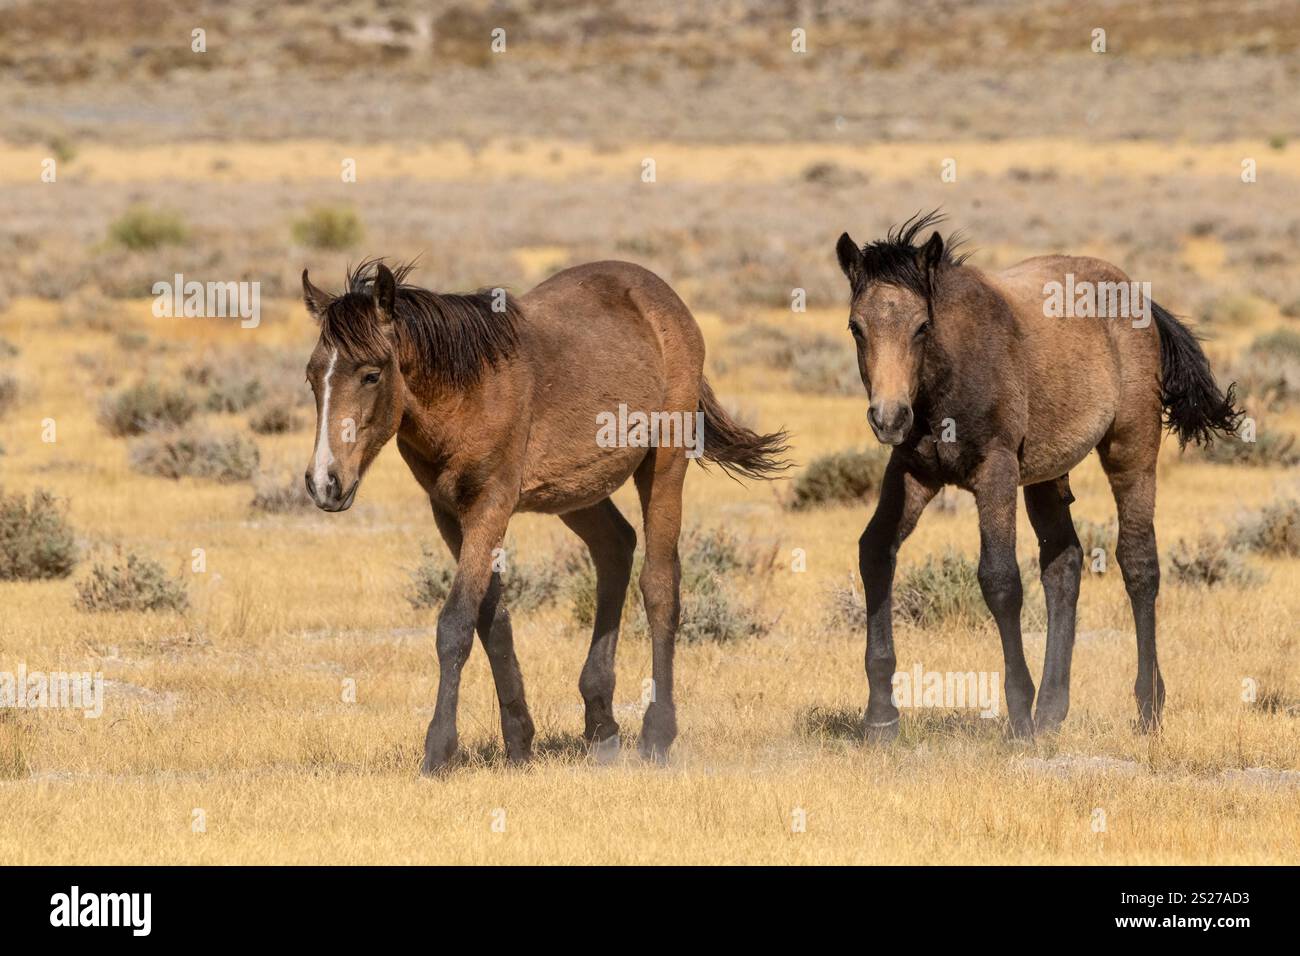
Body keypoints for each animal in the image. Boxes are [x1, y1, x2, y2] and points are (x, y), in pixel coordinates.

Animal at [300, 259, 788, 774]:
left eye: (371, 375)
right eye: (312, 378)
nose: (324, 482)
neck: (468, 390)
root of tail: (665, 299)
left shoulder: (490, 505)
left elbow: (455, 624)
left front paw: (437, 751)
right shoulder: (450, 513)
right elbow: (492, 619)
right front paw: (518, 741)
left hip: (664, 463)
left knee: (659, 585)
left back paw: (656, 735)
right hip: (580, 491)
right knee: (615, 547)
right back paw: (601, 726)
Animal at [834, 212, 1241, 741]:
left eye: (922, 326)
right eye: (856, 327)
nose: (888, 418)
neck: (949, 374)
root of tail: (1139, 296)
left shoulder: (996, 471)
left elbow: (1000, 579)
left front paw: (1019, 714)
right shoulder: (912, 472)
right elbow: (876, 552)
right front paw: (881, 716)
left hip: (1130, 450)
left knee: (1139, 564)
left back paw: (1147, 706)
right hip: (1048, 473)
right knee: (1064, 564)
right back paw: (1052, 710)